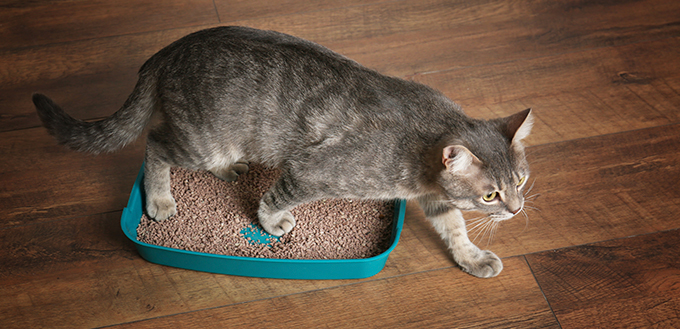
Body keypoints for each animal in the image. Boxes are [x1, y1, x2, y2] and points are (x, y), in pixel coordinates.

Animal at [33, 25, 532, 276]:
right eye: (491, 194)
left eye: (521, 180)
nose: (516, 209)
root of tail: (168, 50)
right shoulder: (311, 170)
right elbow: (276, 197)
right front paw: (273, 222)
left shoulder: (432, 197)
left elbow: (456, 229)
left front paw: (472, 257)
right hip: (200, 138)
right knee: (154, 145)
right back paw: (159, 198)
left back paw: (230, 170)